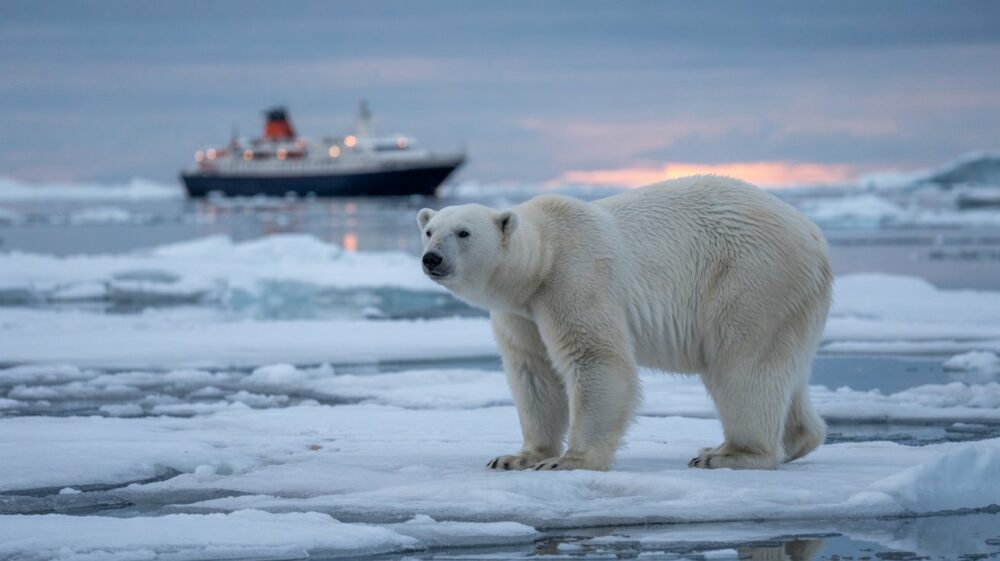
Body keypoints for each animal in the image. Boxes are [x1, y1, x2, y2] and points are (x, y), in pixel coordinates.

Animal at [417, 175, 832, 471]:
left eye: (463, 232)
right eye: (429, 230)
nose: (431, 258)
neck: (542, 258)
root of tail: (814, 235)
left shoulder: (574, 279)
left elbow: (595, 359)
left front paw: (570, 461)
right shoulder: (520, 312)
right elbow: (533, 372)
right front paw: (516, 457)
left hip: (752, 277)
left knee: (742, 365)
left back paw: (727, 453)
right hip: (788, 298)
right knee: (783, 367)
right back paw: (794, 440)